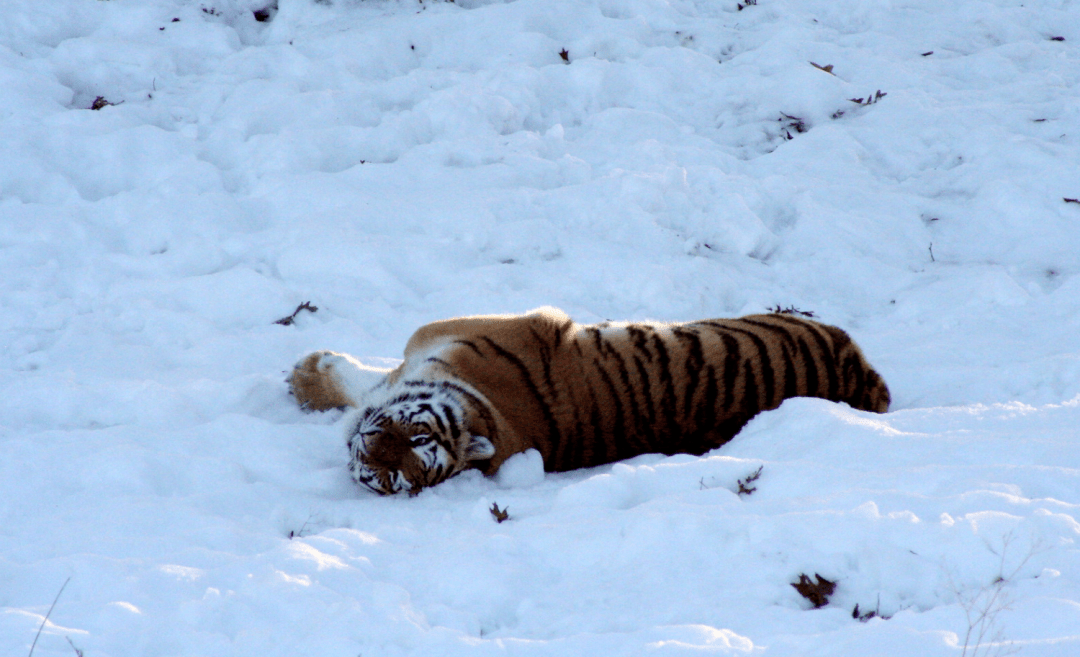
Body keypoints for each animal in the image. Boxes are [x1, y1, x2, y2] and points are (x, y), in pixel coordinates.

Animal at [287, 304, 885, 494]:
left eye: (411, 453)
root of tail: (868, 384)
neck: (485, 408)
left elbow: (363, 382)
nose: (372, 451)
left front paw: (307, 373)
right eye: (387, 474)